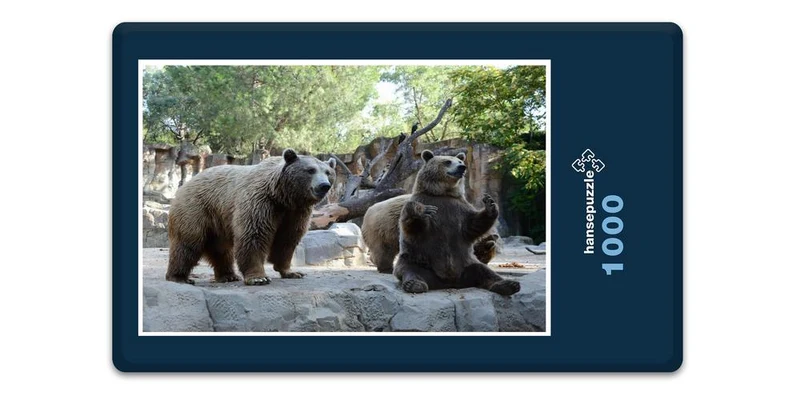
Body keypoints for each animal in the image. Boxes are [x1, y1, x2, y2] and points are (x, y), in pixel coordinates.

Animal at [165, 148, 336, 286]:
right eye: (310, 170)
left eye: (328, 172)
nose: (324, 186)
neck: (283, 196)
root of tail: (185, 185)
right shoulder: (260, 202)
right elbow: (254, 236)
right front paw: (259, 278)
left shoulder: (296, 213)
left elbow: (287, 240)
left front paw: (292, 272)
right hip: (196, 209)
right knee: (187, 243)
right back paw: (179, 277)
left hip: (218, 220)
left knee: (220, 250)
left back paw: (228, 275)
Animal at [362, 194, 499, 273]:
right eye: (482, 257)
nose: (481, 264)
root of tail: (367, 213)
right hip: (384, 228)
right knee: (384, 250)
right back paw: (386, 268)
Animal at [393, 150, 521, 296]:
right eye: (447, 161)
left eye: (460, 161)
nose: (462, 167)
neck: (443, 193)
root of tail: (450, 282)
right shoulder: (425, 201)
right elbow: (413, 227)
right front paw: (422, 211)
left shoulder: (459, 208)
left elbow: (472, 225)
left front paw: (490, 204)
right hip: (417, 260)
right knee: (411, 270)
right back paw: (414, 284)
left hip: (466, 263)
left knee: (484, 271)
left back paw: (509, 284)